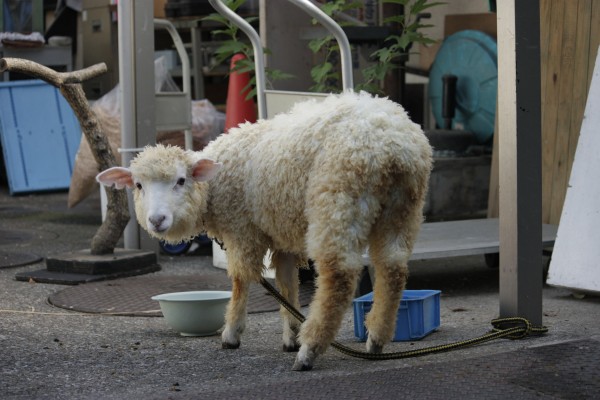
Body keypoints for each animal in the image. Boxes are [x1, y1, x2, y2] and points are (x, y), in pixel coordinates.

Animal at [97, 90, 432, 368]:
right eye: (138, 185)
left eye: (181, 181)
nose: (157, 220)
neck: (213, 185)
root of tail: (390, 144)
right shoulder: (281, 234)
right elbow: (286, 283)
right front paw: (291, 332)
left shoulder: (242, 229)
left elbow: (240, 280)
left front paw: (232, 333)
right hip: (403, 207)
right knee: (392, 268)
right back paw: (376, 338)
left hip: (339, 198)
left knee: (338, 275)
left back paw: (310, 350)